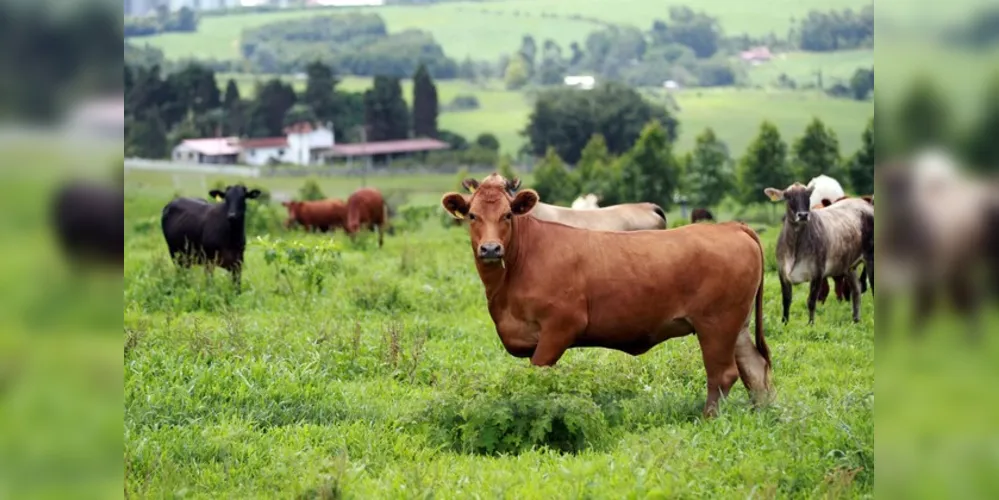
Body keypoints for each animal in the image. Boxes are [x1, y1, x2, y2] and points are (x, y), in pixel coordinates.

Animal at [440, 174, 772, 416]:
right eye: (472, 215)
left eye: (507, 214)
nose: (491, 249)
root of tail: (732, 227)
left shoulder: (560, 327)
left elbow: (539, 375)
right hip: (736, 327)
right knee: (755, 370)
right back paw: (764, 415)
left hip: (716, 325)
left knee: (722, 374)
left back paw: (709, 419)